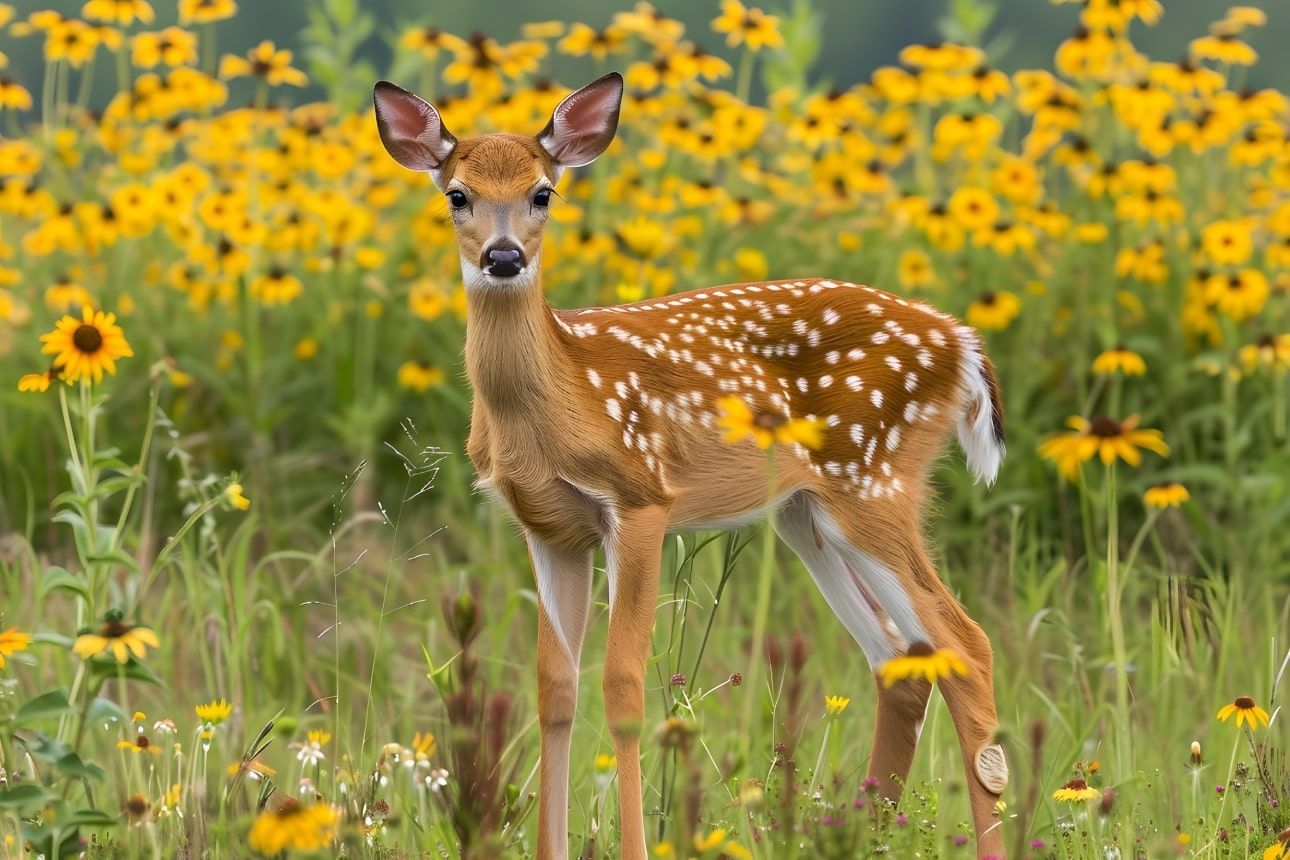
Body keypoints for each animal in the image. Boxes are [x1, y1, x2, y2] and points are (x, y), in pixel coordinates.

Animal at [373, 72, 1010, 859]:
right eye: (456, 194)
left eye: (543, 191)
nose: (503, 257)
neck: (560, 395)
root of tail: (963, 343)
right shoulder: (549, 529)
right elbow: (555, 688)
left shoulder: (641, 498)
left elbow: (622, 686)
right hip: (808, 513)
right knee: (902, 659)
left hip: (873, 479)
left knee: (966, 645)